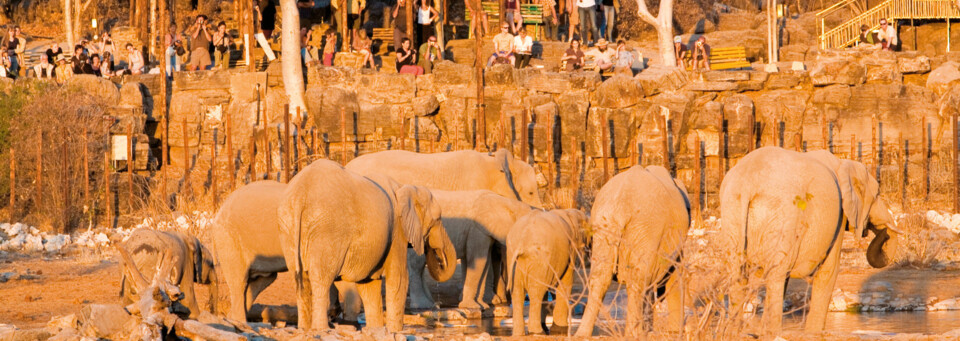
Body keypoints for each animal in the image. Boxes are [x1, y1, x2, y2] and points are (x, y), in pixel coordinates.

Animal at [278, 159, 458, 330]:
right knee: (321, 280)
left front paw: (376, 329)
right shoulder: (396, 231)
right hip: (326, 230)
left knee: (301, 280)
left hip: (289, 229)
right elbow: (398, 278)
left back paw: (304, 328)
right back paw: (321, 329)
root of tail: (301, 195)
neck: (405, 187)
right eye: (437, 219)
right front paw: (394, 331)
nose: (437, 254)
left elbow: (369, 285)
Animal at [404, 190, 536, 310]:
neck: (507, 203)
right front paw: (472, 306)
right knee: (417, 265)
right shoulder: (478, 229)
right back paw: (422, 305)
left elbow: (481, 262)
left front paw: (482, 306)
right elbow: (479, 261)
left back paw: (432, 304)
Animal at [568, 165, 688, 338]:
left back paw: (582, 335)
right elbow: (674, 274)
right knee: (638, 279)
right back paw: (633, 335)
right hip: (644, 228)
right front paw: (673, 332)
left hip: (605, 225)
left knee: (601, 276)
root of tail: (620, 206)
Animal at [720, 146, 900, 332]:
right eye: (877, 195)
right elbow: (829, 270)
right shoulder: (838, 217)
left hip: (732, 213)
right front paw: (814, 334)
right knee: (776, 275)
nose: (884, 232)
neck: (844, 164)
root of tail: (747, 183)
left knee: (738, 275)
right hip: (783, 216)